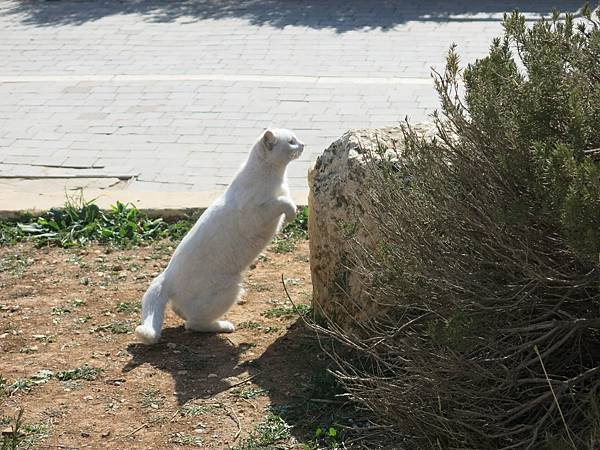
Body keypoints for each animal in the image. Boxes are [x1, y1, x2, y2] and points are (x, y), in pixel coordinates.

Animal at [136, 128, 304, 346]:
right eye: (292, 142)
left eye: (296, 138)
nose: (303, 144)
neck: (275, 176)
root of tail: (166, 276)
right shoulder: (258, 214)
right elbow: (283, 203)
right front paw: (292, 212)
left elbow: (286, 201)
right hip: (229, 289)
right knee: (193, 324)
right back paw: (223, 326)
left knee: (181, 311)